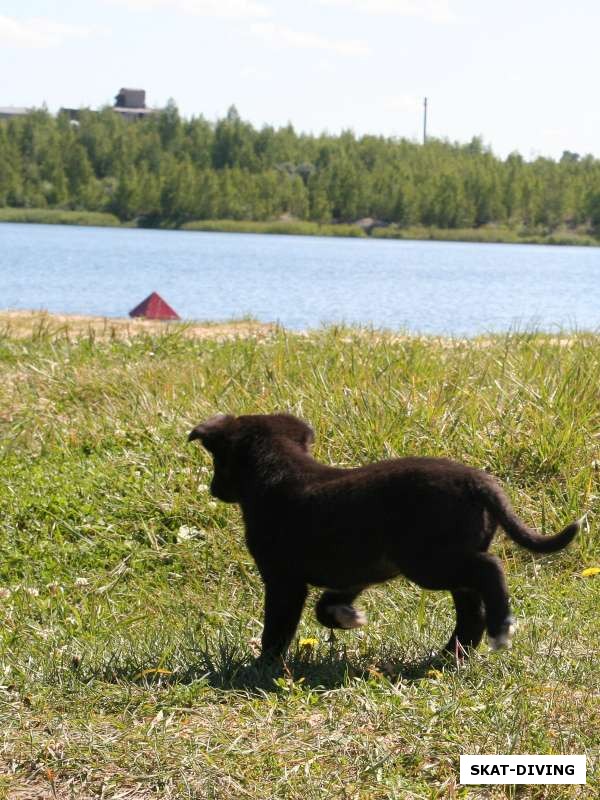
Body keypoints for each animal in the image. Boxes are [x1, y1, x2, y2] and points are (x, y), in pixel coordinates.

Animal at [189, 410, 580, 660]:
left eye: (217, 461)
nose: (212, 489)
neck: (278, 471)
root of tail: (478, 481)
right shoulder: (354, 573)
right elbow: (325, 606)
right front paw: (348, 618)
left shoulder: (283, 580)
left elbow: (277, 628)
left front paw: (261, 668)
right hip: (448, 558)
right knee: (471, 607)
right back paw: (451, 655)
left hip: (428, 562)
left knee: (489, 569)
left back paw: (500, 628)